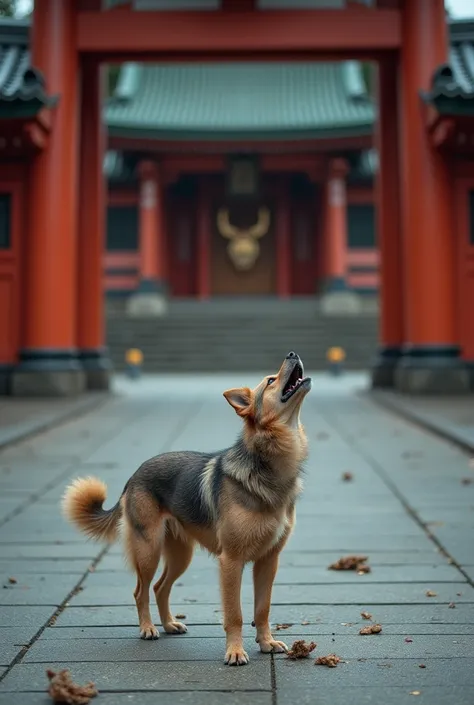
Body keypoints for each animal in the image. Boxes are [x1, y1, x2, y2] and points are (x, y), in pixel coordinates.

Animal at [63, 352, 312, 664]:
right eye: (270, 381)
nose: (292, 354)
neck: (269, 461)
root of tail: (134, 475)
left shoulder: (268, 560)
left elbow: (262, 608)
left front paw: (266, 642)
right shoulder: (231, 562)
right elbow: (235, 614)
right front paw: (235, 651)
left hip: (181, 555)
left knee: (160, 587)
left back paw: (170, 624)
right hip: (148, 550)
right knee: (140, 590)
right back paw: (148, 628)